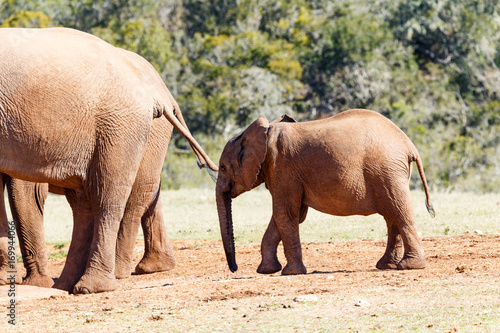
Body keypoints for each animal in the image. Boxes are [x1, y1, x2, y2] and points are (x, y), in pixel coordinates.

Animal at [0, 28, 217, 294]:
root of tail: (163, 95)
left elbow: (28, 193)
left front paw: (33, 284)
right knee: (91, 198)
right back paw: (70, 283)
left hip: (121, 126)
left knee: (114, 194)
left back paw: (99, 283)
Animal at [215, 109, 434, 274]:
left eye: (223, 168)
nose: (234, 268)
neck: (263, 131)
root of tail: (409, 145)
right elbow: (291, 215)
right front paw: (267, 270)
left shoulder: (282, 167)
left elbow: (285, 214)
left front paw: (290, 272)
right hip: (390, 173)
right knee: (392, 215)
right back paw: (386, 266)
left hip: (387, 171)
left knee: (399, 212)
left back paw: (409, 266)